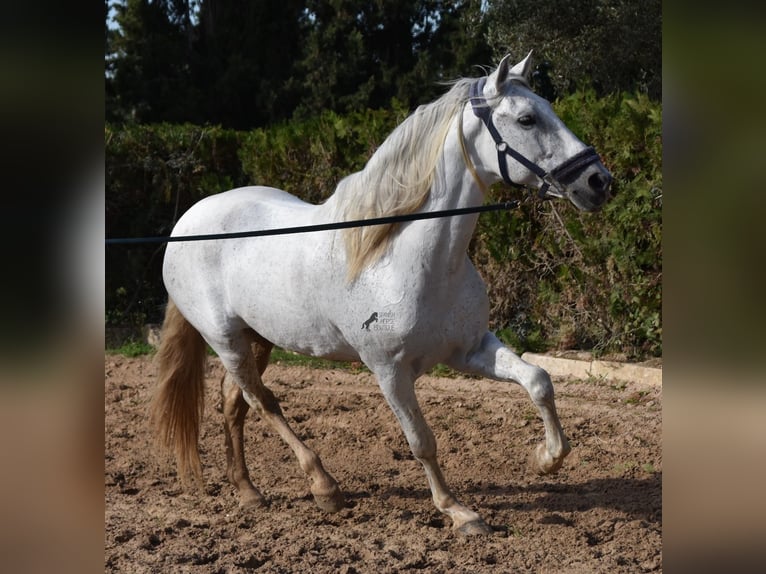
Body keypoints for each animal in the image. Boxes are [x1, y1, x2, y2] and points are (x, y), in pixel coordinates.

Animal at [153, 51, 616, 536]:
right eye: (527, 118)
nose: (599, 181)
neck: (410, 258)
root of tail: (186, 222)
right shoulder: (389, 371)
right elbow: (421, 441)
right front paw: (458, 511)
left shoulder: (469, 350)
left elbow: (539, 381)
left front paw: (546, 460)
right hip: (226, 340)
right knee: (262, 401)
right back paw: (324, 487)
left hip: (257, 338)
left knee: (234, 404)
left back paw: (248, 491)